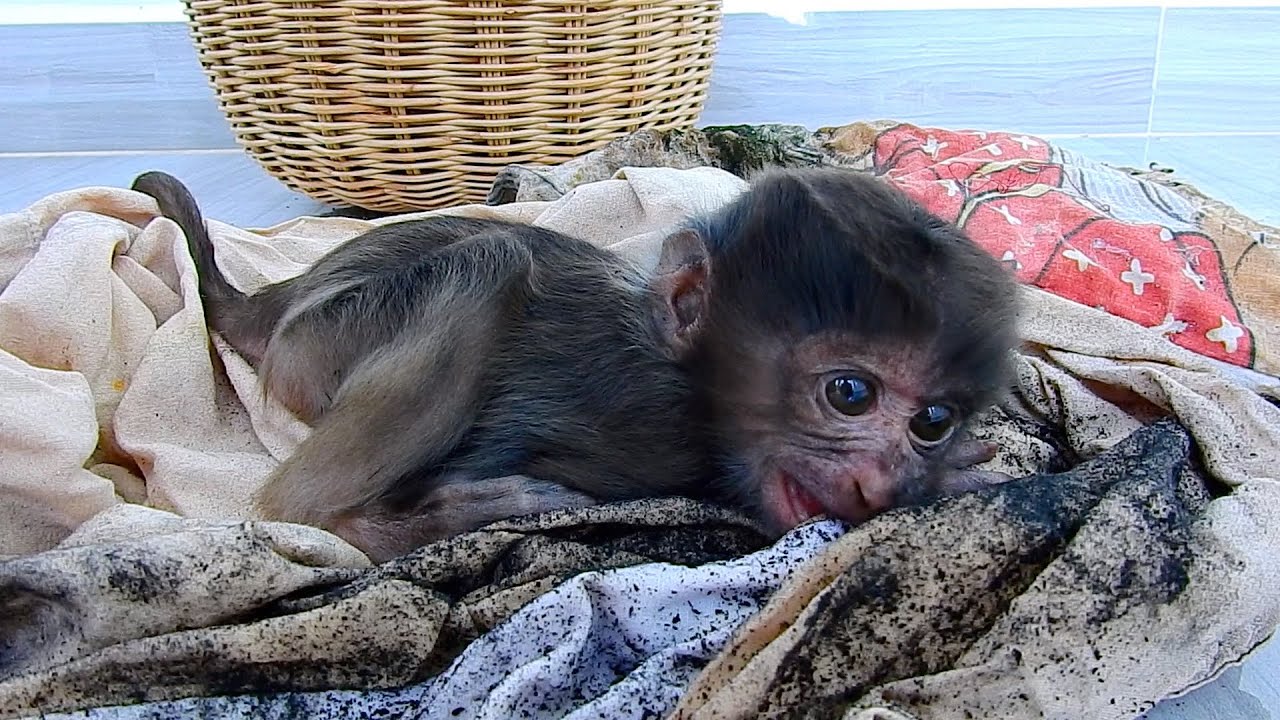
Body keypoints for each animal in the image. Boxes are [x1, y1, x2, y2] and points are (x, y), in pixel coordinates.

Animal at [130, 167, 1020, 563]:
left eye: (931, 421)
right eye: (849, 393)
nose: (883, 481)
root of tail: (282, 295)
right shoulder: (656, 419)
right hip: (320, 340)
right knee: (488, 261)